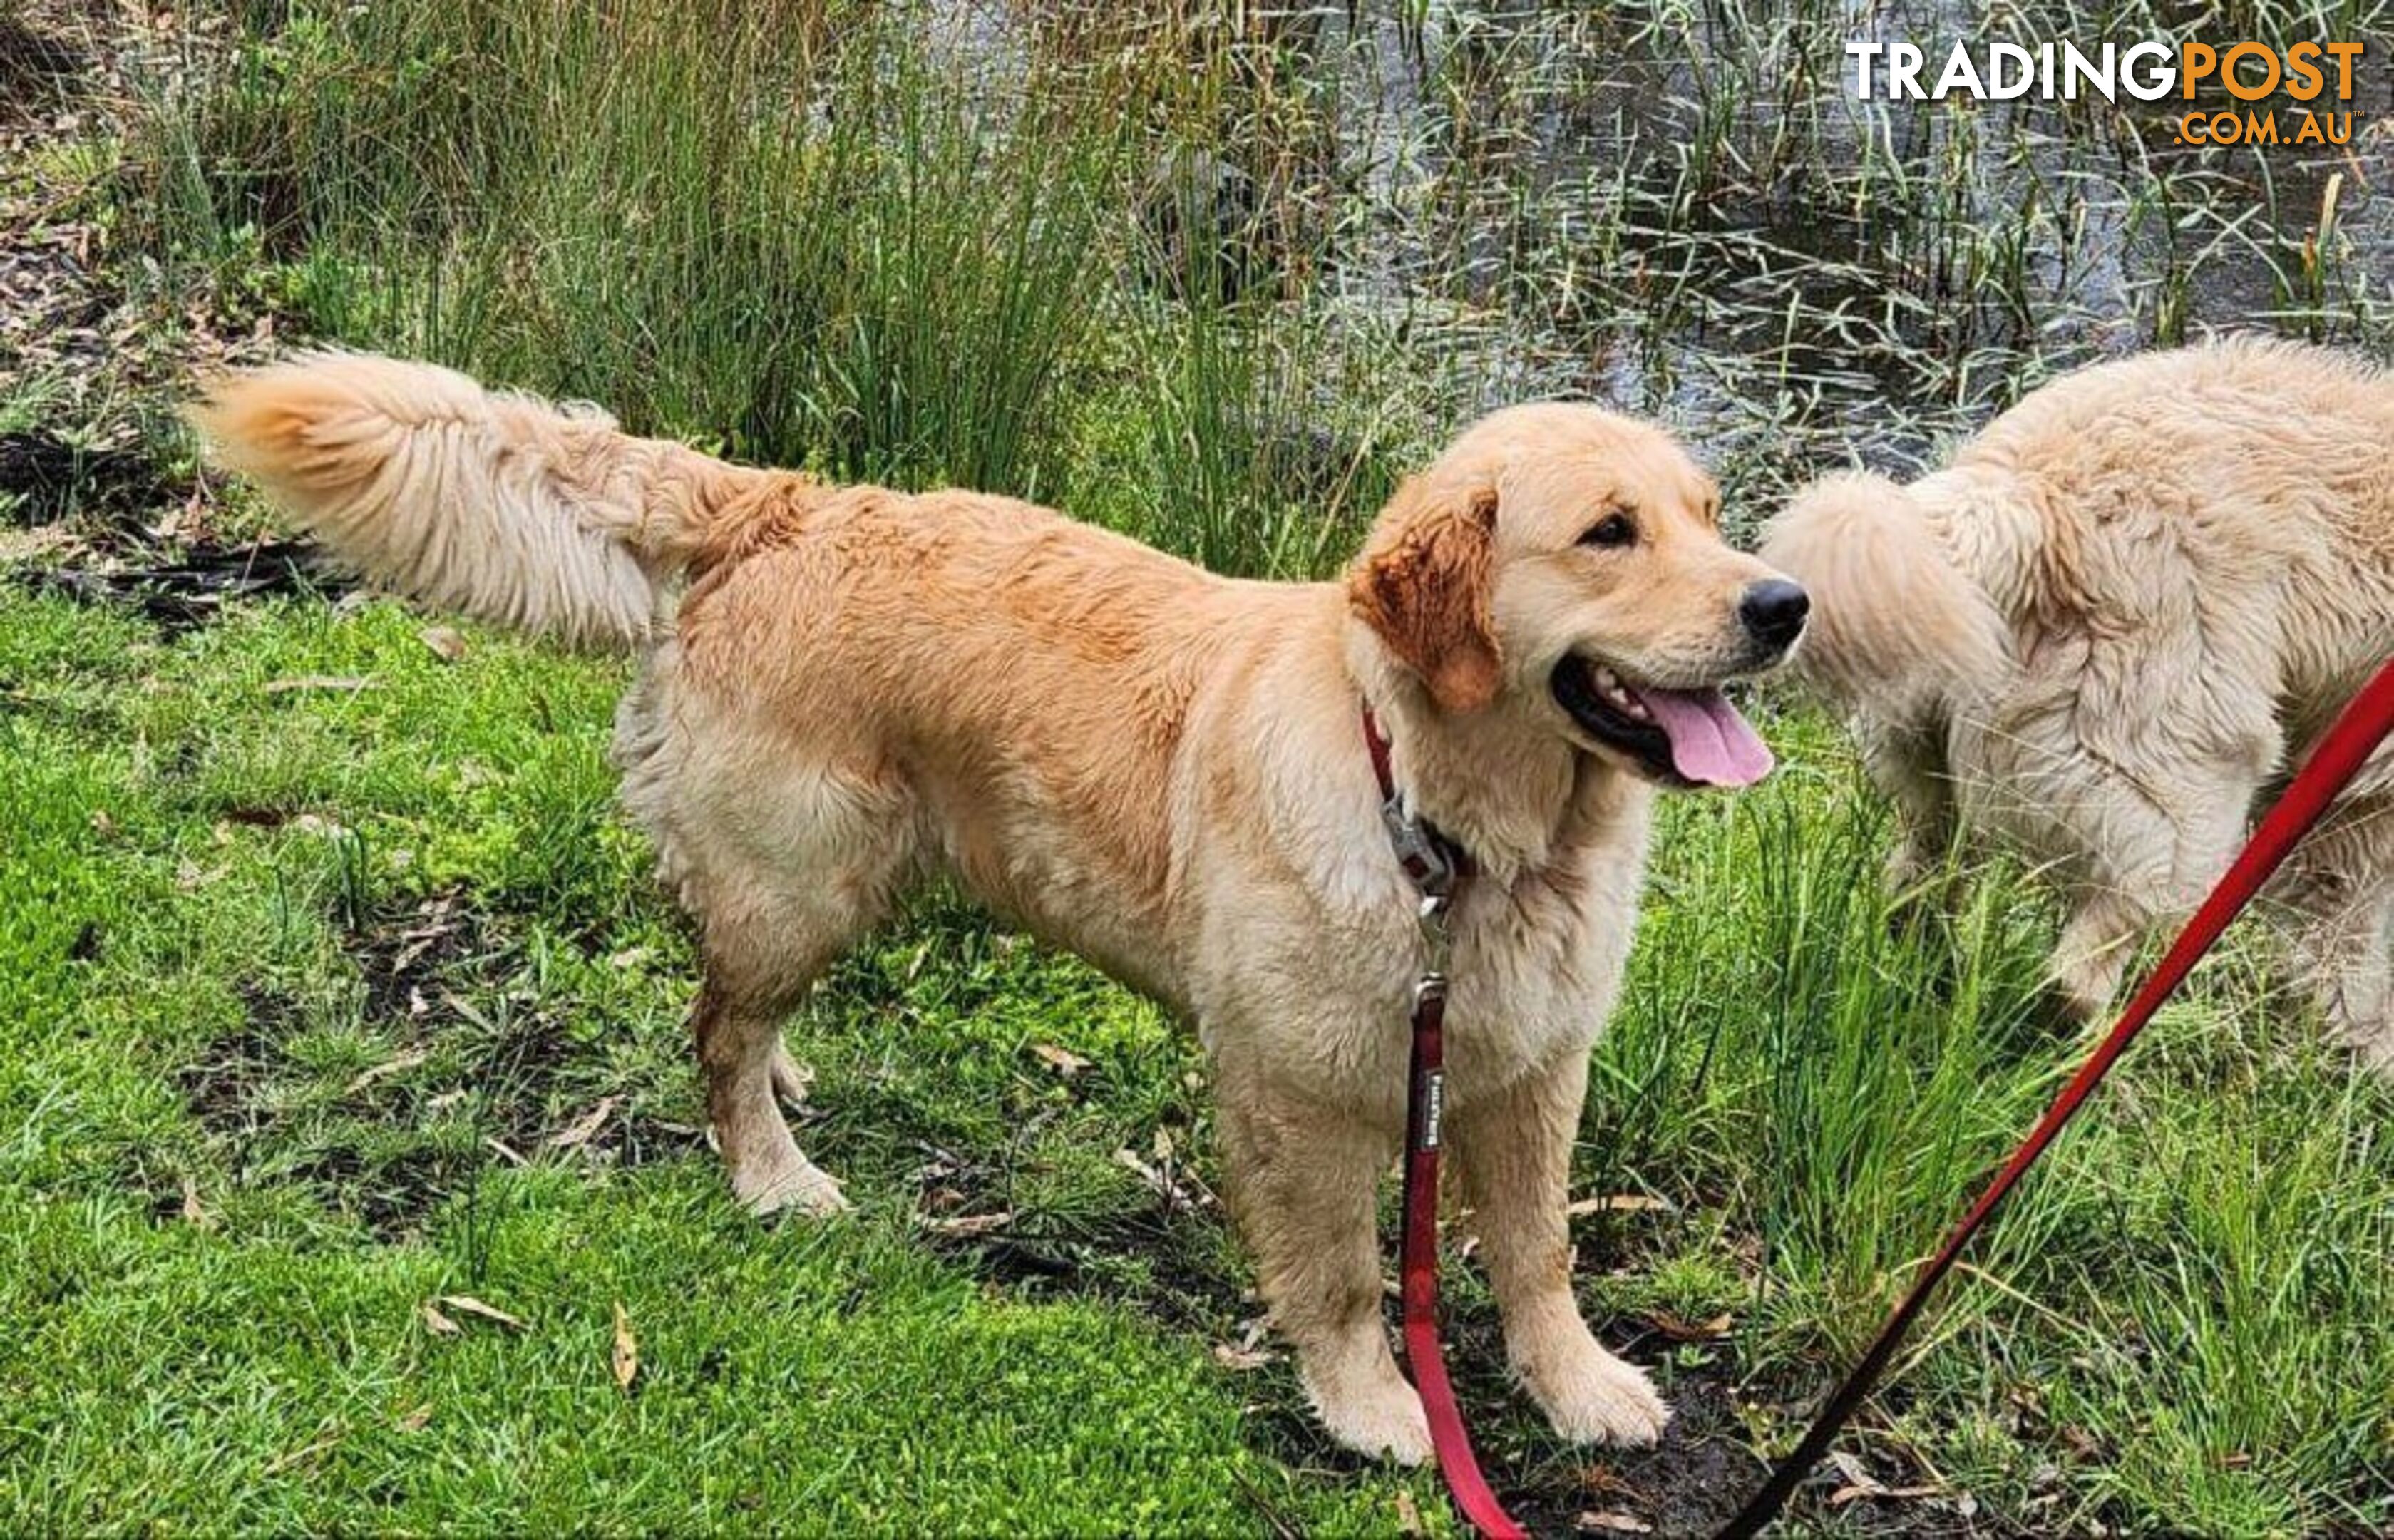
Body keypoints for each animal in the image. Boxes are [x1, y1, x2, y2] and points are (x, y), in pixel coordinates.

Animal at [196, 354, 1800, 1465]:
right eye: (1607, 533)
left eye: (1711, 518)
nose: (1782, 604)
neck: (1452, 825)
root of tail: (781, 501)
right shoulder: (1300, 1088)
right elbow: (1346, 1277)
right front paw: (1372, 1407)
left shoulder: (1533, 1066)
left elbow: (1537, 1253)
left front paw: (1574, 1384)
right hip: (807, 875)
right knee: (711, 1035)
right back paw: (773, 1173)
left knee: (728, 1001)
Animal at [1762, 335, 2394, 1068]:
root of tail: (2022, 500)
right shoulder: (2359, 805)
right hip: (2180, 792)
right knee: (2078, 971)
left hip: (1925, 756)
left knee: (1916, 888)